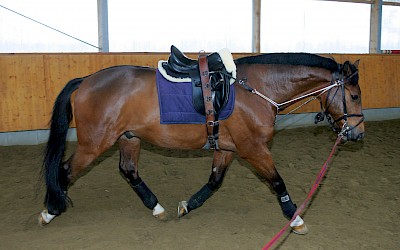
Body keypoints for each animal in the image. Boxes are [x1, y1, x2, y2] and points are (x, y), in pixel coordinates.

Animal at [38, 49, 366, 236]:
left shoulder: (227, 148)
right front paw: (294, 218)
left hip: (129, 138)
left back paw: (156, 207)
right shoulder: (254, 149)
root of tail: (86, 80)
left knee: (128, 171)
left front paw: (188, 205)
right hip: (95, 143)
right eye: (354, 95)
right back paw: (50, 210)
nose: (358, 133)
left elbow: (214, 181)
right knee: (65, 171)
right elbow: (277, 182)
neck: (255, 89)